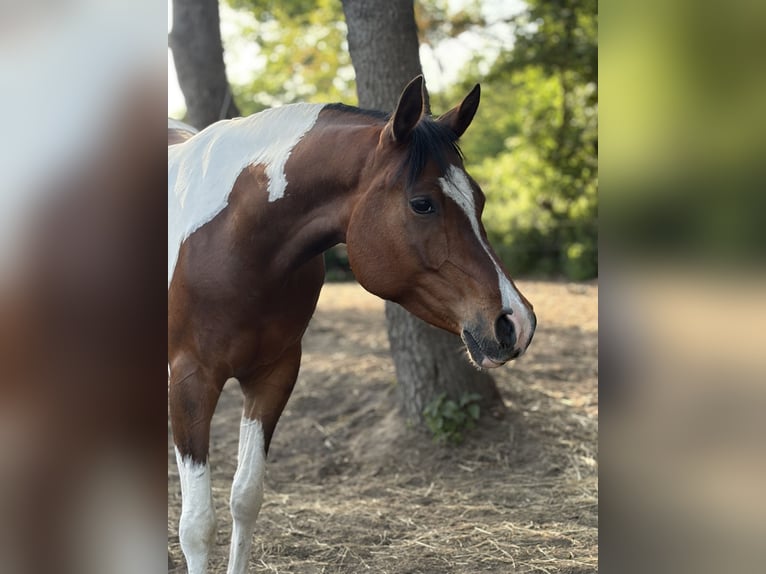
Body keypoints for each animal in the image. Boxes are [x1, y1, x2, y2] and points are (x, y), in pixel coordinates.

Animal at [168, 75, 537, 574]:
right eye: (422, 204)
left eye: (477, 198)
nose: (516, 322)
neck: (230, 239)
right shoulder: (190, 381)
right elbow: (197, 525)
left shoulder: (273, 376)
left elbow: (246, 498)